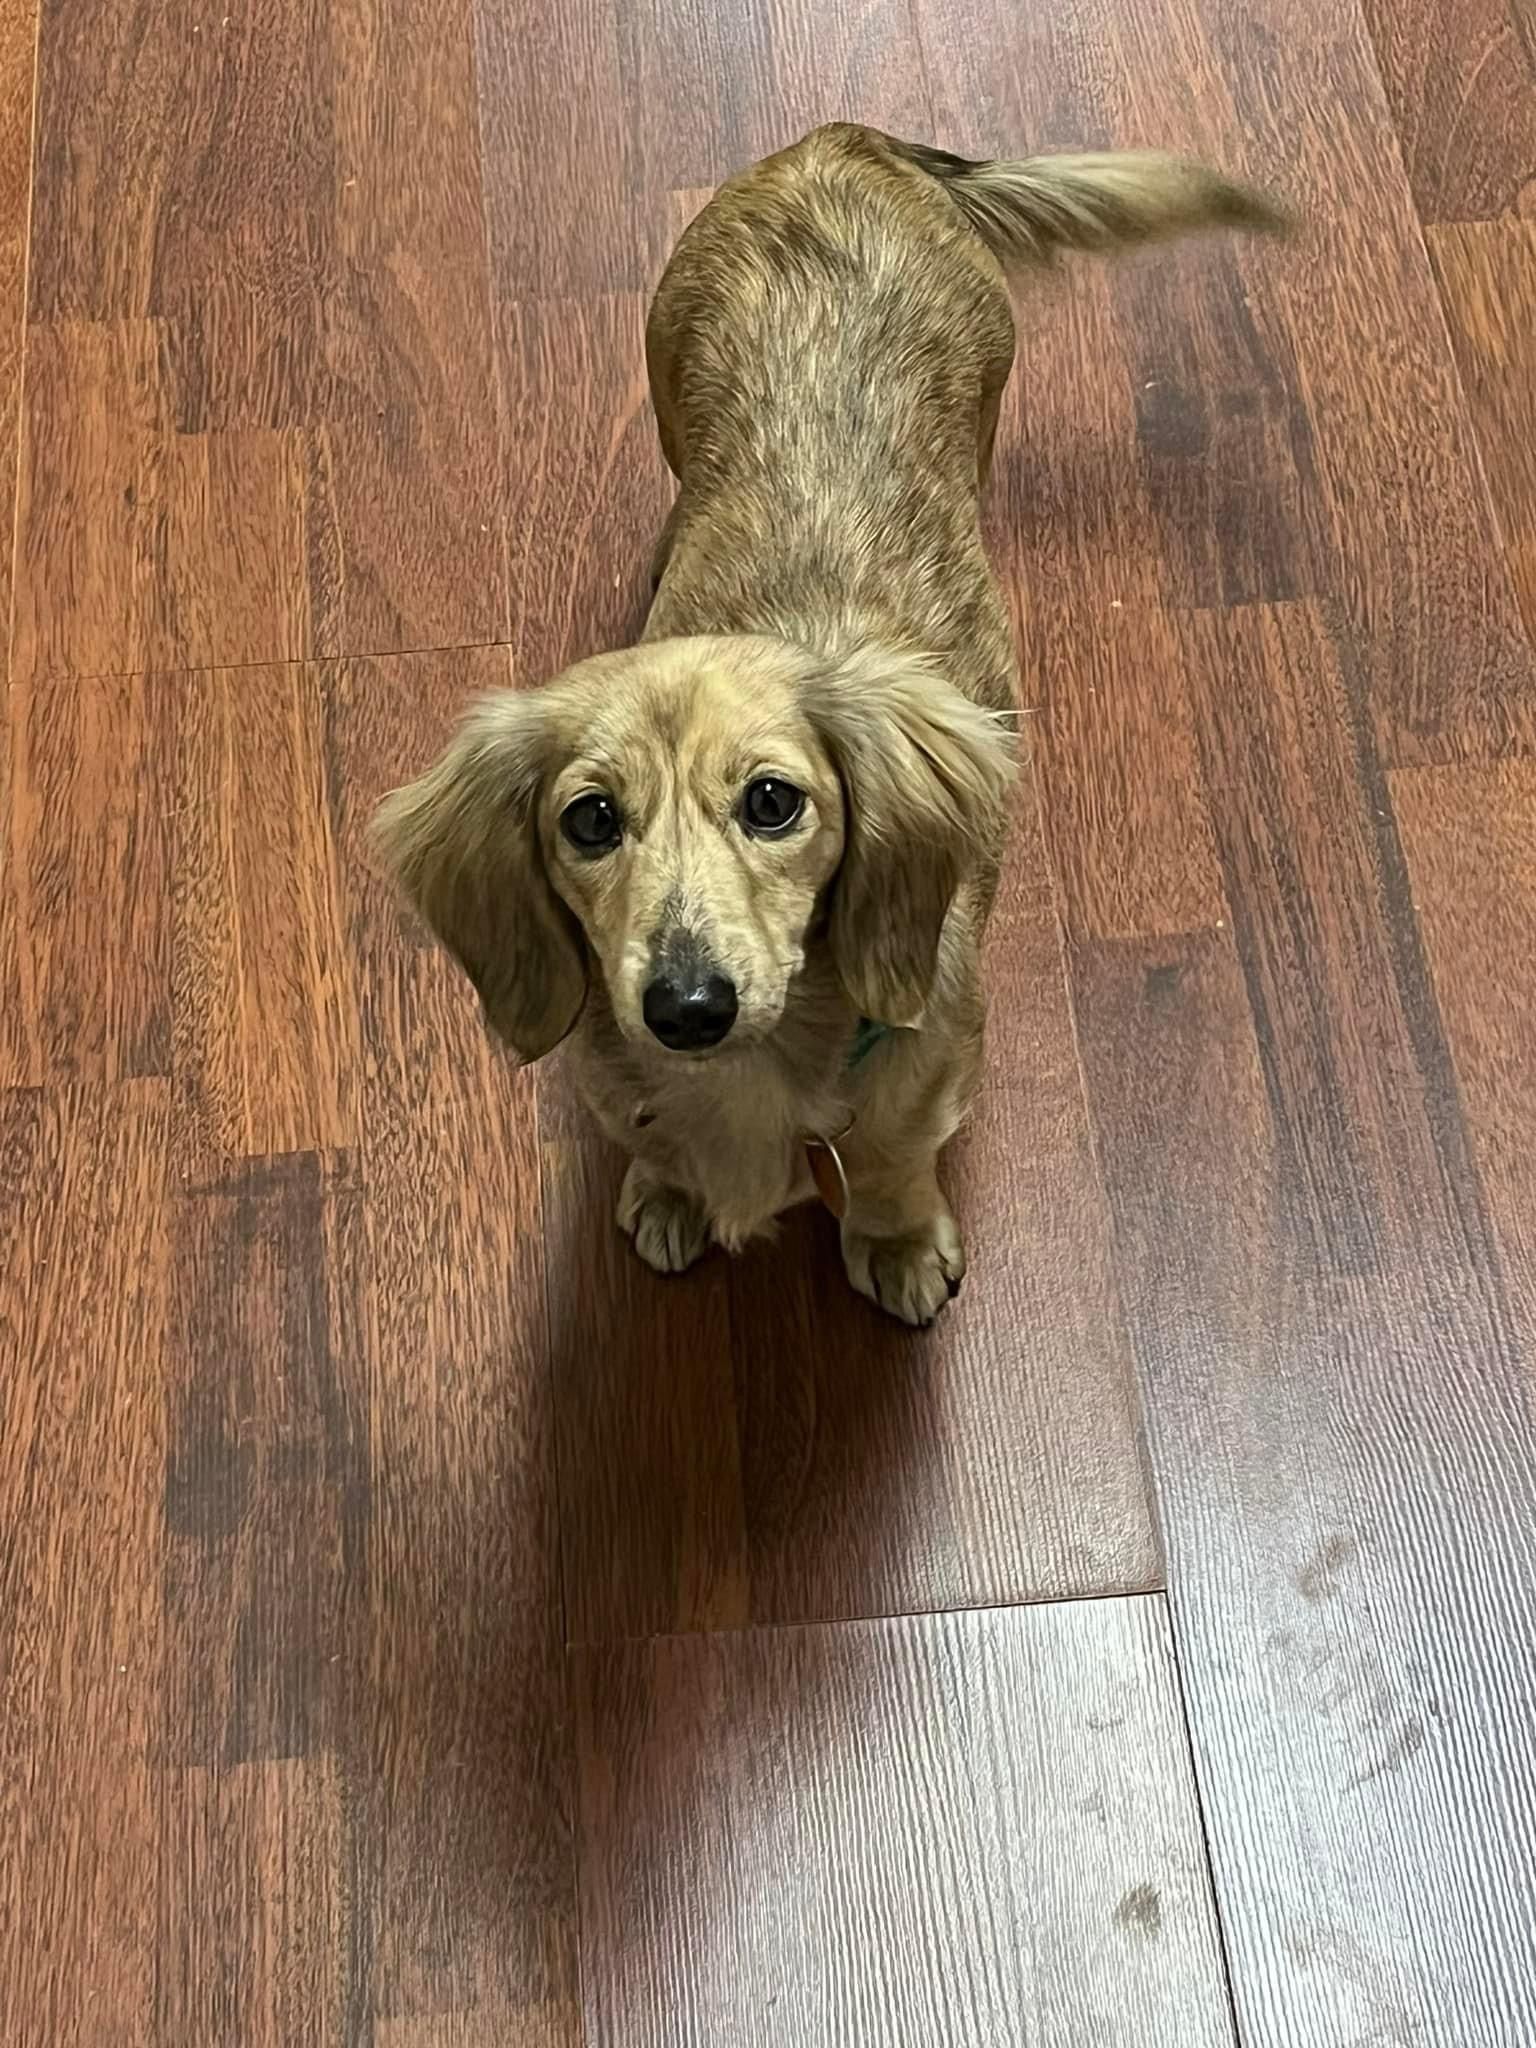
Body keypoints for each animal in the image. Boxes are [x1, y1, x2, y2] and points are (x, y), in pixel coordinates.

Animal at [376, 124, 1284, 1325]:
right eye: (589, 820)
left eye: (773, 802)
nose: (688, 1006)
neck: (753, 1072)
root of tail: (843, 142)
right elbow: (650, 1140)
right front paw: (668, 1190)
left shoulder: (925, 1076)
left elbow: (894, 1158)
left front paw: (896, 1240)